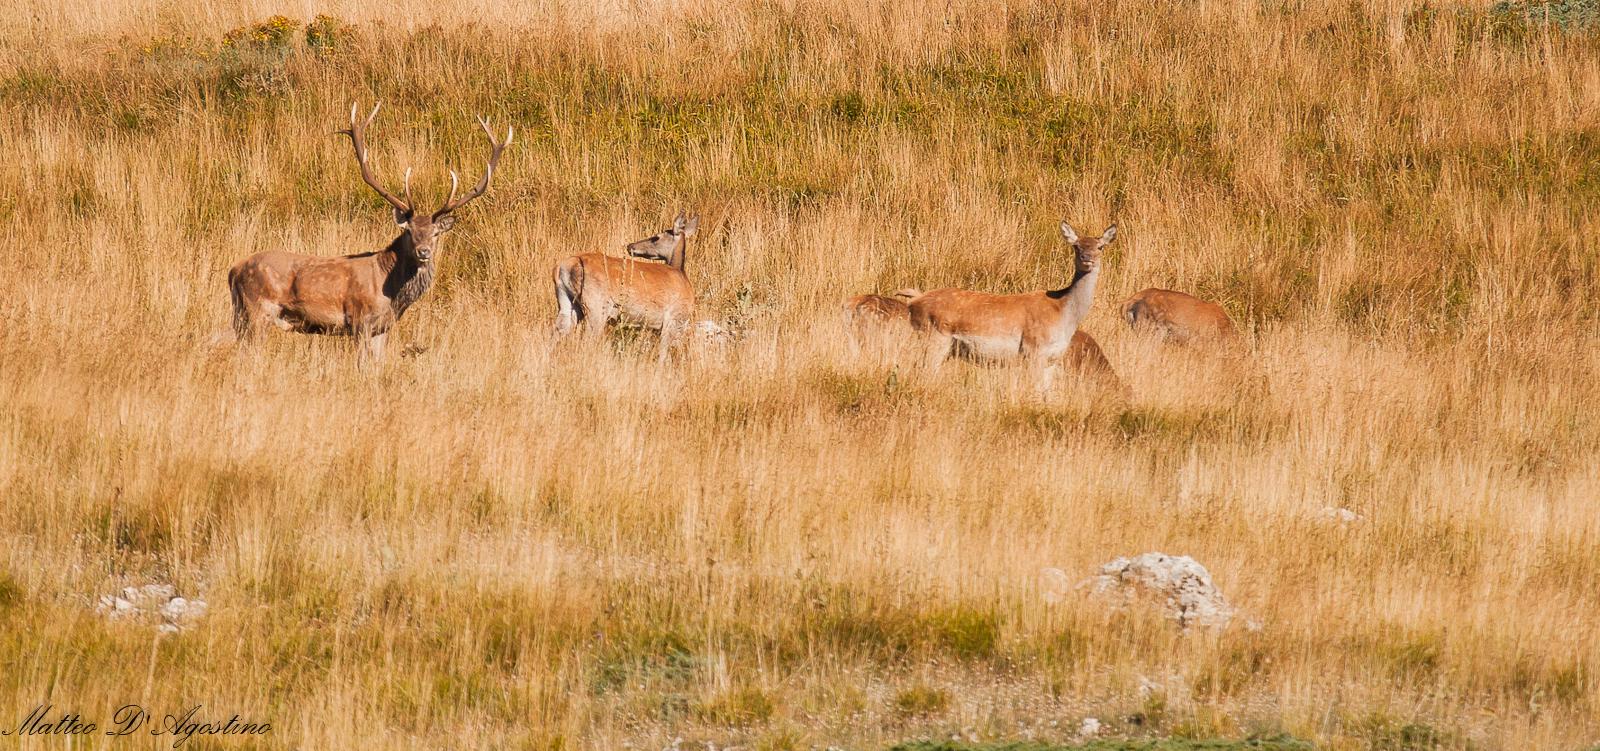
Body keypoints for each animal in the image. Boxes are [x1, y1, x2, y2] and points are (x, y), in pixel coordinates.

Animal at [225, 103, 508, 363]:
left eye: (436, 233)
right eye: (410, 232)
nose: (424, 251)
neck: (391, 294)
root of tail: (234, 271)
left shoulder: (383, 328)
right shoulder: (359, 319)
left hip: (243, 313)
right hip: (258, 309)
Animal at [553, 212, 697, 361]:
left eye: (656, 237)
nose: (630, 246)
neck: (682, 274)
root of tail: (565, 265)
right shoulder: (675, 318)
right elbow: (664, 355)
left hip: (567, 300)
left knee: (556, 331)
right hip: (597, 305)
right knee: (588, 339)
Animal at [908, 220, 1120, 385]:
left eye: (1100, 246)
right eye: (1076, 246)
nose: (1087, 257)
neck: (1063, 313)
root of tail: (914, 302)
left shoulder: (1053, 359)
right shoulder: (1033, 348)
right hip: (935, 337)